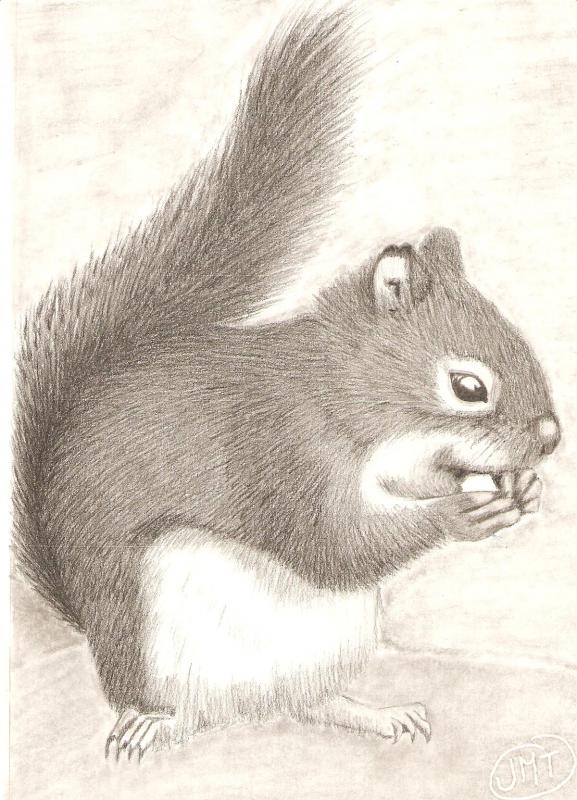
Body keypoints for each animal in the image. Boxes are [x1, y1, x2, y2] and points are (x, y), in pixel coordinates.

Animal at [13, 6, 560, 759]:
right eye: (468, 387)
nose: (551, 437)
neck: (343, 395)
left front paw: (519, 492)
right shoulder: (281, 448)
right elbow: (333, 543)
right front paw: (458, 515)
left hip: (328, 644)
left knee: (306, 702)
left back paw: (373, 714)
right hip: (153, 631)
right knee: (177, 706)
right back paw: (152, 724)